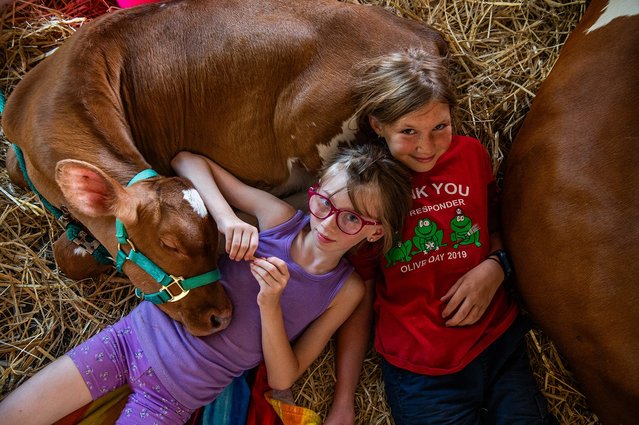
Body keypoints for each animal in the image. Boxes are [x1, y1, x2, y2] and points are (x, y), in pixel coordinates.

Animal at [2, 0, 448, 334]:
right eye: (169, 245)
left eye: (209, 237)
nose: (221, 316)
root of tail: (420, 33)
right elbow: (13, 170)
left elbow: (68, 255)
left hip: (310, 127)